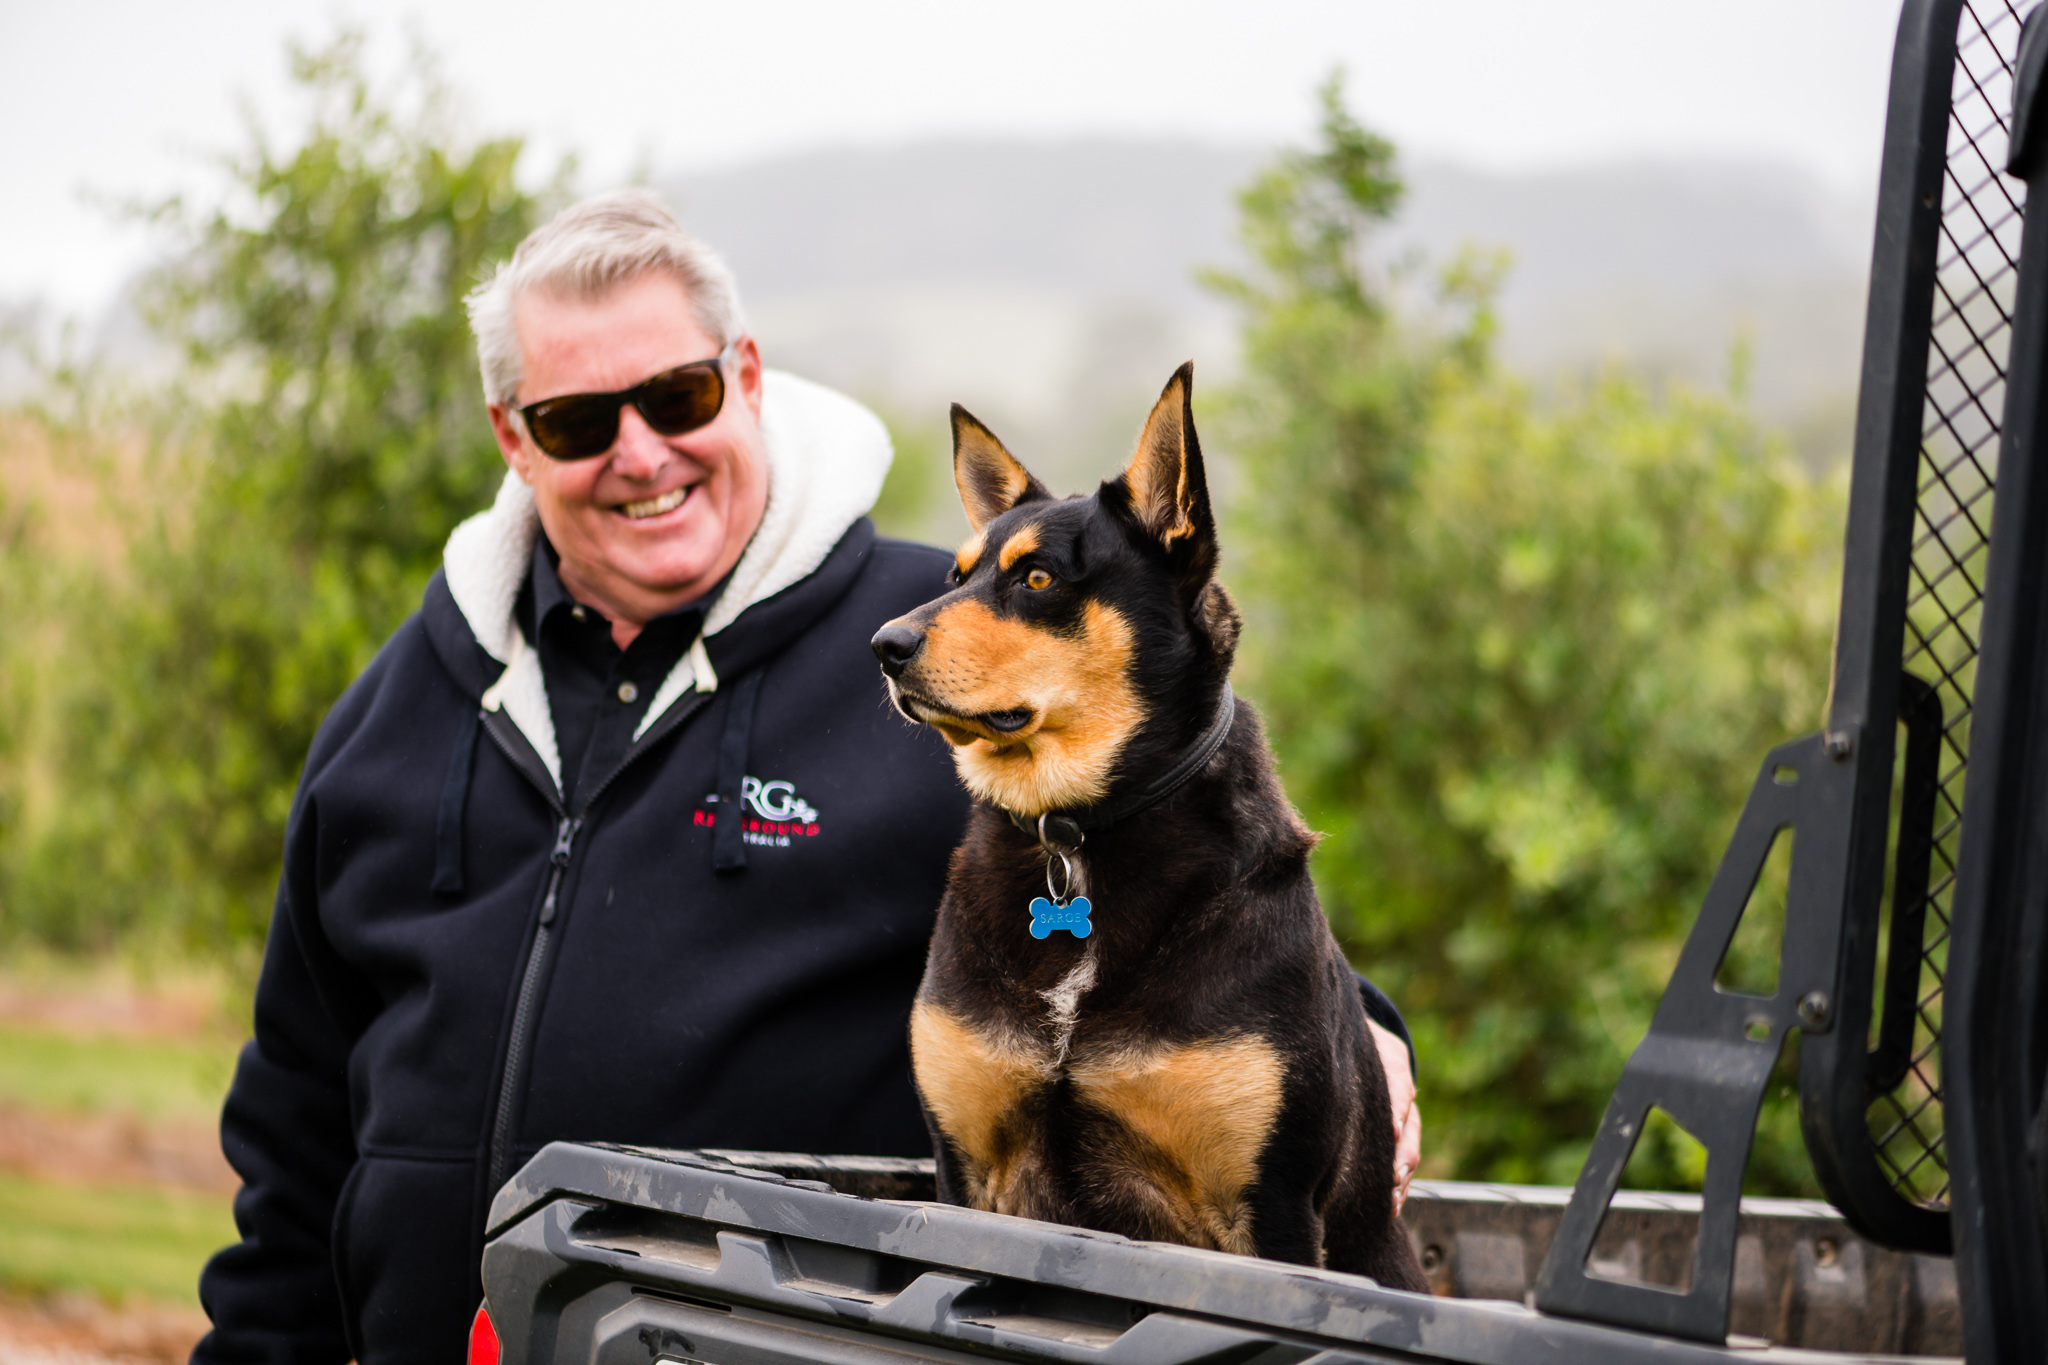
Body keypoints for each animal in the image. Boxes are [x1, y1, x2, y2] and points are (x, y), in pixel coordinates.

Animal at [864, 362, 1425, 1293]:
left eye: (1038, 579)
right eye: (955, 572)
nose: (884, 643)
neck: (1077, 832)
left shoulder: (1271, 1207)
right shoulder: (963, 1172)